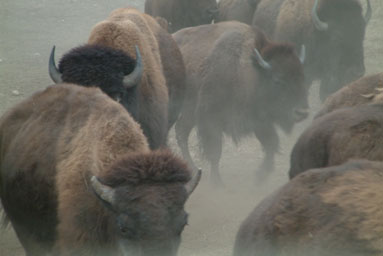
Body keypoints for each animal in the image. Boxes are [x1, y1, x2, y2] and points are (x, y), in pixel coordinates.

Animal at [174, 21, 308, 186]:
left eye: (302, 76)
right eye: (278, 79)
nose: (302, 112)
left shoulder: (260, 121)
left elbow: (271, 144)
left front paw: (260, 176)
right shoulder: (211, 119)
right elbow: (215, 152)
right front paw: (217, 183)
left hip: (189, 113)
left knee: (181, 132)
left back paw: (192, 169)